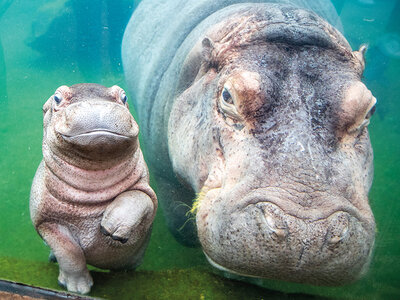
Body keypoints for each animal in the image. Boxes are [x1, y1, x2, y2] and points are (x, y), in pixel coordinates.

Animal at [29, 83, 157, 294]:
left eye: (124, 97)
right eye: (56, 98)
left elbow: (137, 197)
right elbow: (68, 251)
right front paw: (77, 288)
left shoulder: (148, 192)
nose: (98, 106)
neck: (94, 181)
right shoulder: (45, 220)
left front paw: (111, 227)